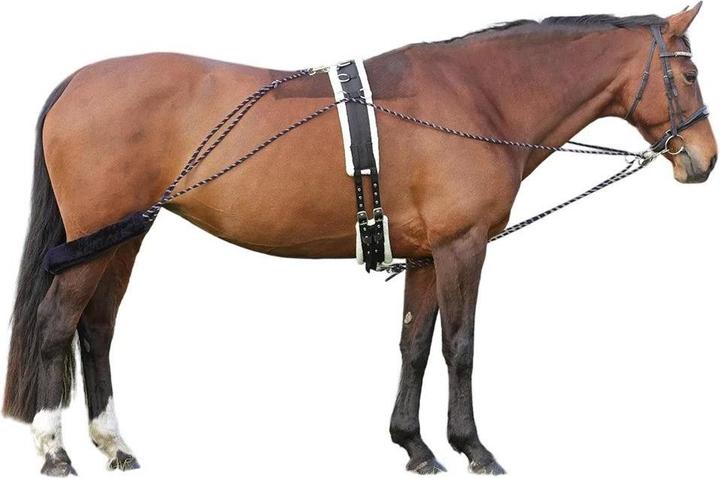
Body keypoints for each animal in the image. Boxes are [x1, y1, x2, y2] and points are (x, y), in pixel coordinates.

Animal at [3, 4, 716, 476]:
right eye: (688, 75)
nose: (703, 160)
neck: (478, 96)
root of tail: (76, 82)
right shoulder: (463, 247)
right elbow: (459, 346)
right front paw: (474, 448)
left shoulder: (428, 254)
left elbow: (415, 345)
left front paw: (415, 445)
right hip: (96, 239)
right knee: (56, 324)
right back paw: (55, 450)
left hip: (122, 238)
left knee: (96, 327)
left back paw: (114, 444)